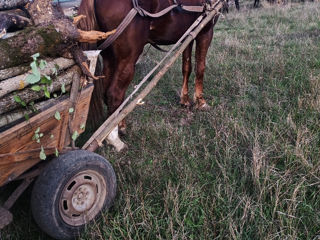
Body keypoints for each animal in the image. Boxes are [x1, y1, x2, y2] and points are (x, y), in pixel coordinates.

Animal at [79, 0, 221, 150]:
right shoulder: (205, 31)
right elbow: (200, 68)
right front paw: (201, 102)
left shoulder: (190, 34)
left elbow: (187, 68)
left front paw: (185, 100)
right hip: (127, 59)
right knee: (114, 94)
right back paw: (114, 139)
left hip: (109, 58)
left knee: (107, 94)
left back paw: (117, 125)